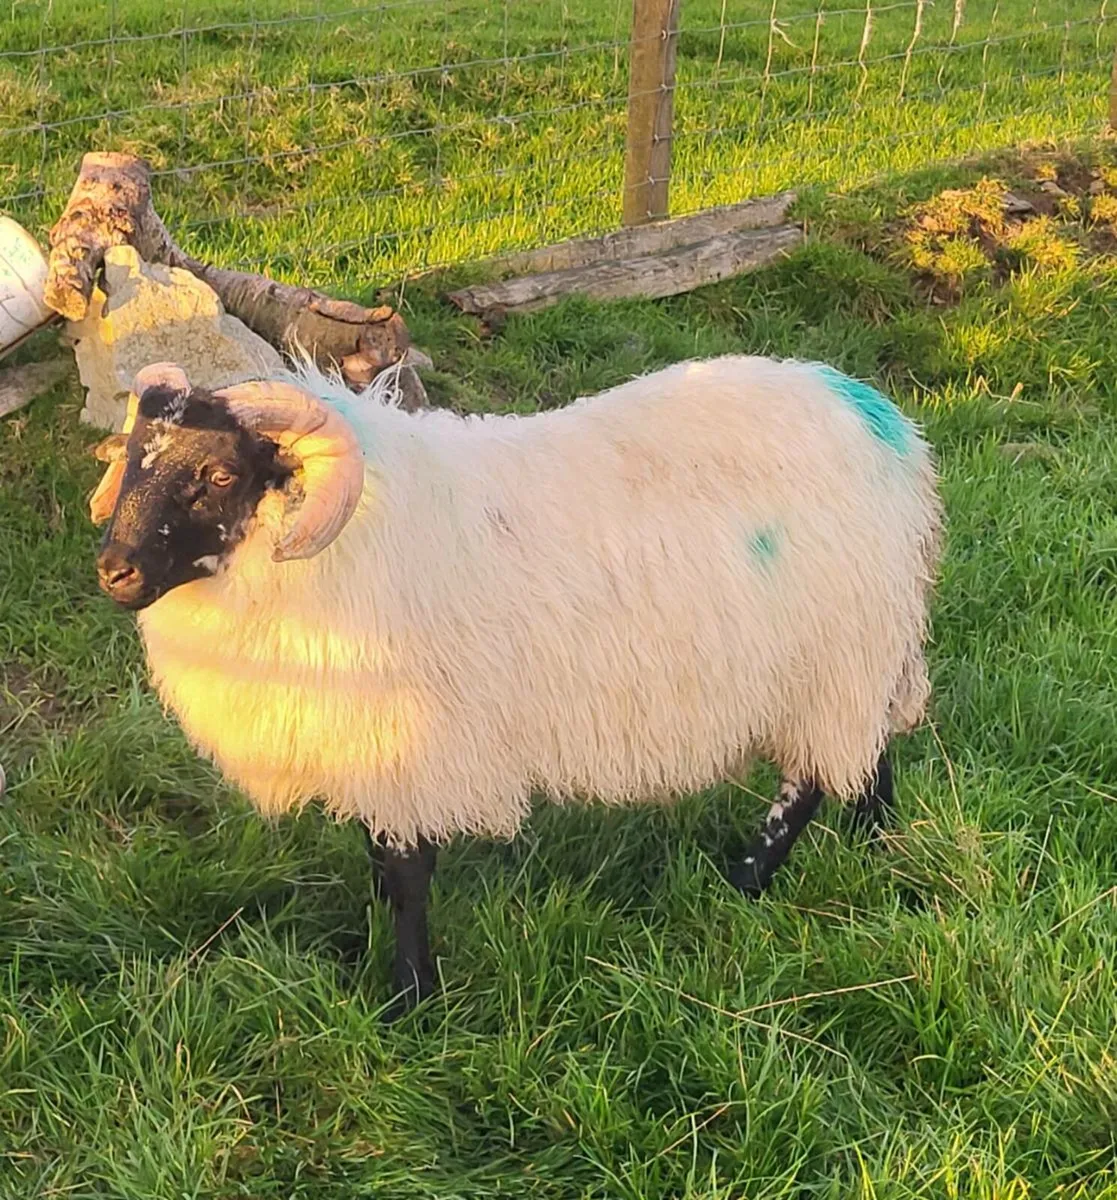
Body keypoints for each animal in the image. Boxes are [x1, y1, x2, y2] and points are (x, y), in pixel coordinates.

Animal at [91, 355, 942, 1014]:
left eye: (219, 473)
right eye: (130, 460)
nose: (115, 573)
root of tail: (878, 420)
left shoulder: (413, 750)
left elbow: (405, 874)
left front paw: (409, 1000)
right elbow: (377, 863)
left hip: (833, 653)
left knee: (806, 784)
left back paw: (742, 881)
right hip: (864, 650)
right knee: (866, 753)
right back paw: (874, 843)